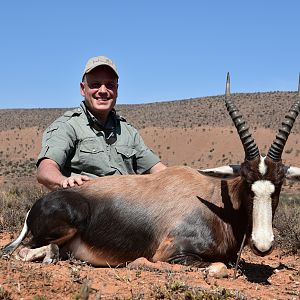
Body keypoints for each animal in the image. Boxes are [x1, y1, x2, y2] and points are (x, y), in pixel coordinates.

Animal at [2, 74, 300, 270]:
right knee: (25, 252)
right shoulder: (175, 255)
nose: (263, 245)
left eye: (279, 184)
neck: (215, 202)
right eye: (247, 182)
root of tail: (36, 206)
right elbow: (219, 267)